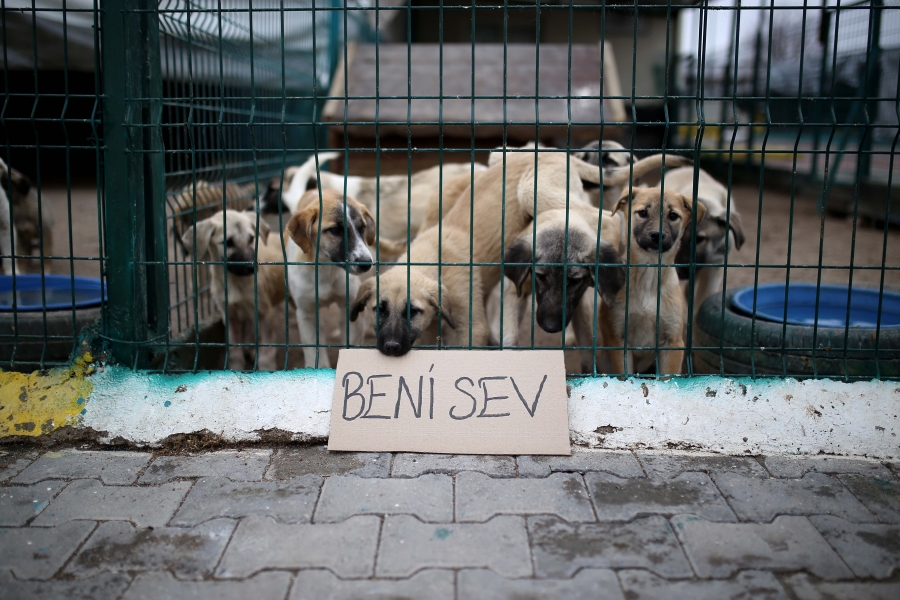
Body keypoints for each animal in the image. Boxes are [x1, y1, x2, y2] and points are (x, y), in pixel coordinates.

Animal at [180, 210, 284, 370]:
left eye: (251, 239)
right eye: (228, 242)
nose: (252, 268)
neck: (235, 282)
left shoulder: (266, 313)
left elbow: (267, 354)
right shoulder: (229, 315)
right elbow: (234, 352)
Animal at [596, 188, 712, 376]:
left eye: (673, 216)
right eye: (643, 213)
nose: (657, 235)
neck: (648, 280)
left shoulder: (672, 341)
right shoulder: (620, 339)